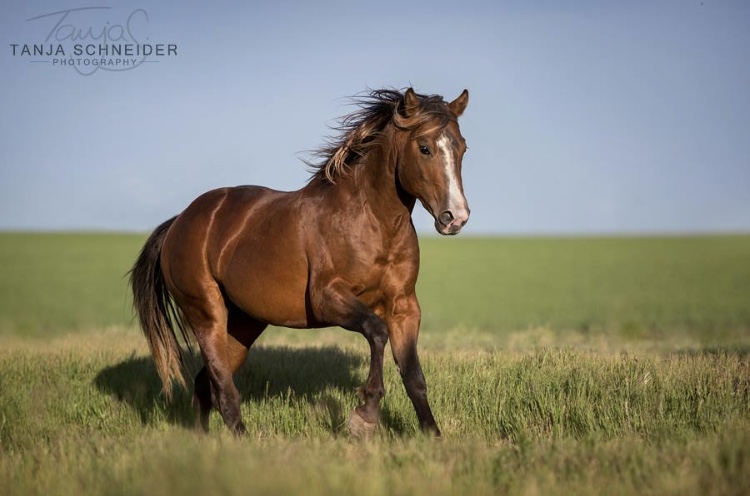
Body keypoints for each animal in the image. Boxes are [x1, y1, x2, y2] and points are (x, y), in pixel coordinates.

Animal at [129, 87, 470, 436]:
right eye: (425, 147)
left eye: (462, 147)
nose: (455, 218)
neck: (372, 223)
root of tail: (180, 221)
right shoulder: (327, 298)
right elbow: (376, 332)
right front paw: (364, 416)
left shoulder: (404, 307)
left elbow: (414, 376)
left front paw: (432, 436)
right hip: (206, 315)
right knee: (223, 389)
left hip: (243, 324)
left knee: (204, 385)